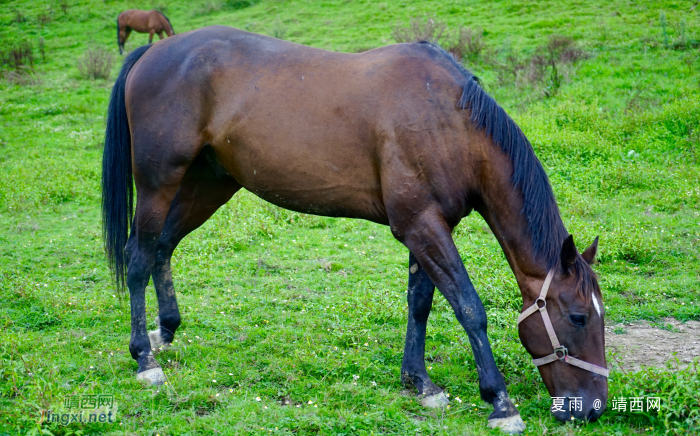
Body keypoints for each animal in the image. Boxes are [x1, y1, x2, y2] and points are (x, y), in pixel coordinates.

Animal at [102, 26, 608, 432]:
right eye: (578, 317)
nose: (593, 408)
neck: (449, 120)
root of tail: (152, 52)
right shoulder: (422, 227)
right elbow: (469, 307)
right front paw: (500, 403)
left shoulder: (426, 226)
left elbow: (420, 304)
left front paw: (420, 383)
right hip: (158, 183)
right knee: (138, 256)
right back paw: (144, 359)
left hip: (207, 184)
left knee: (163, 247)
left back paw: (166, 332)